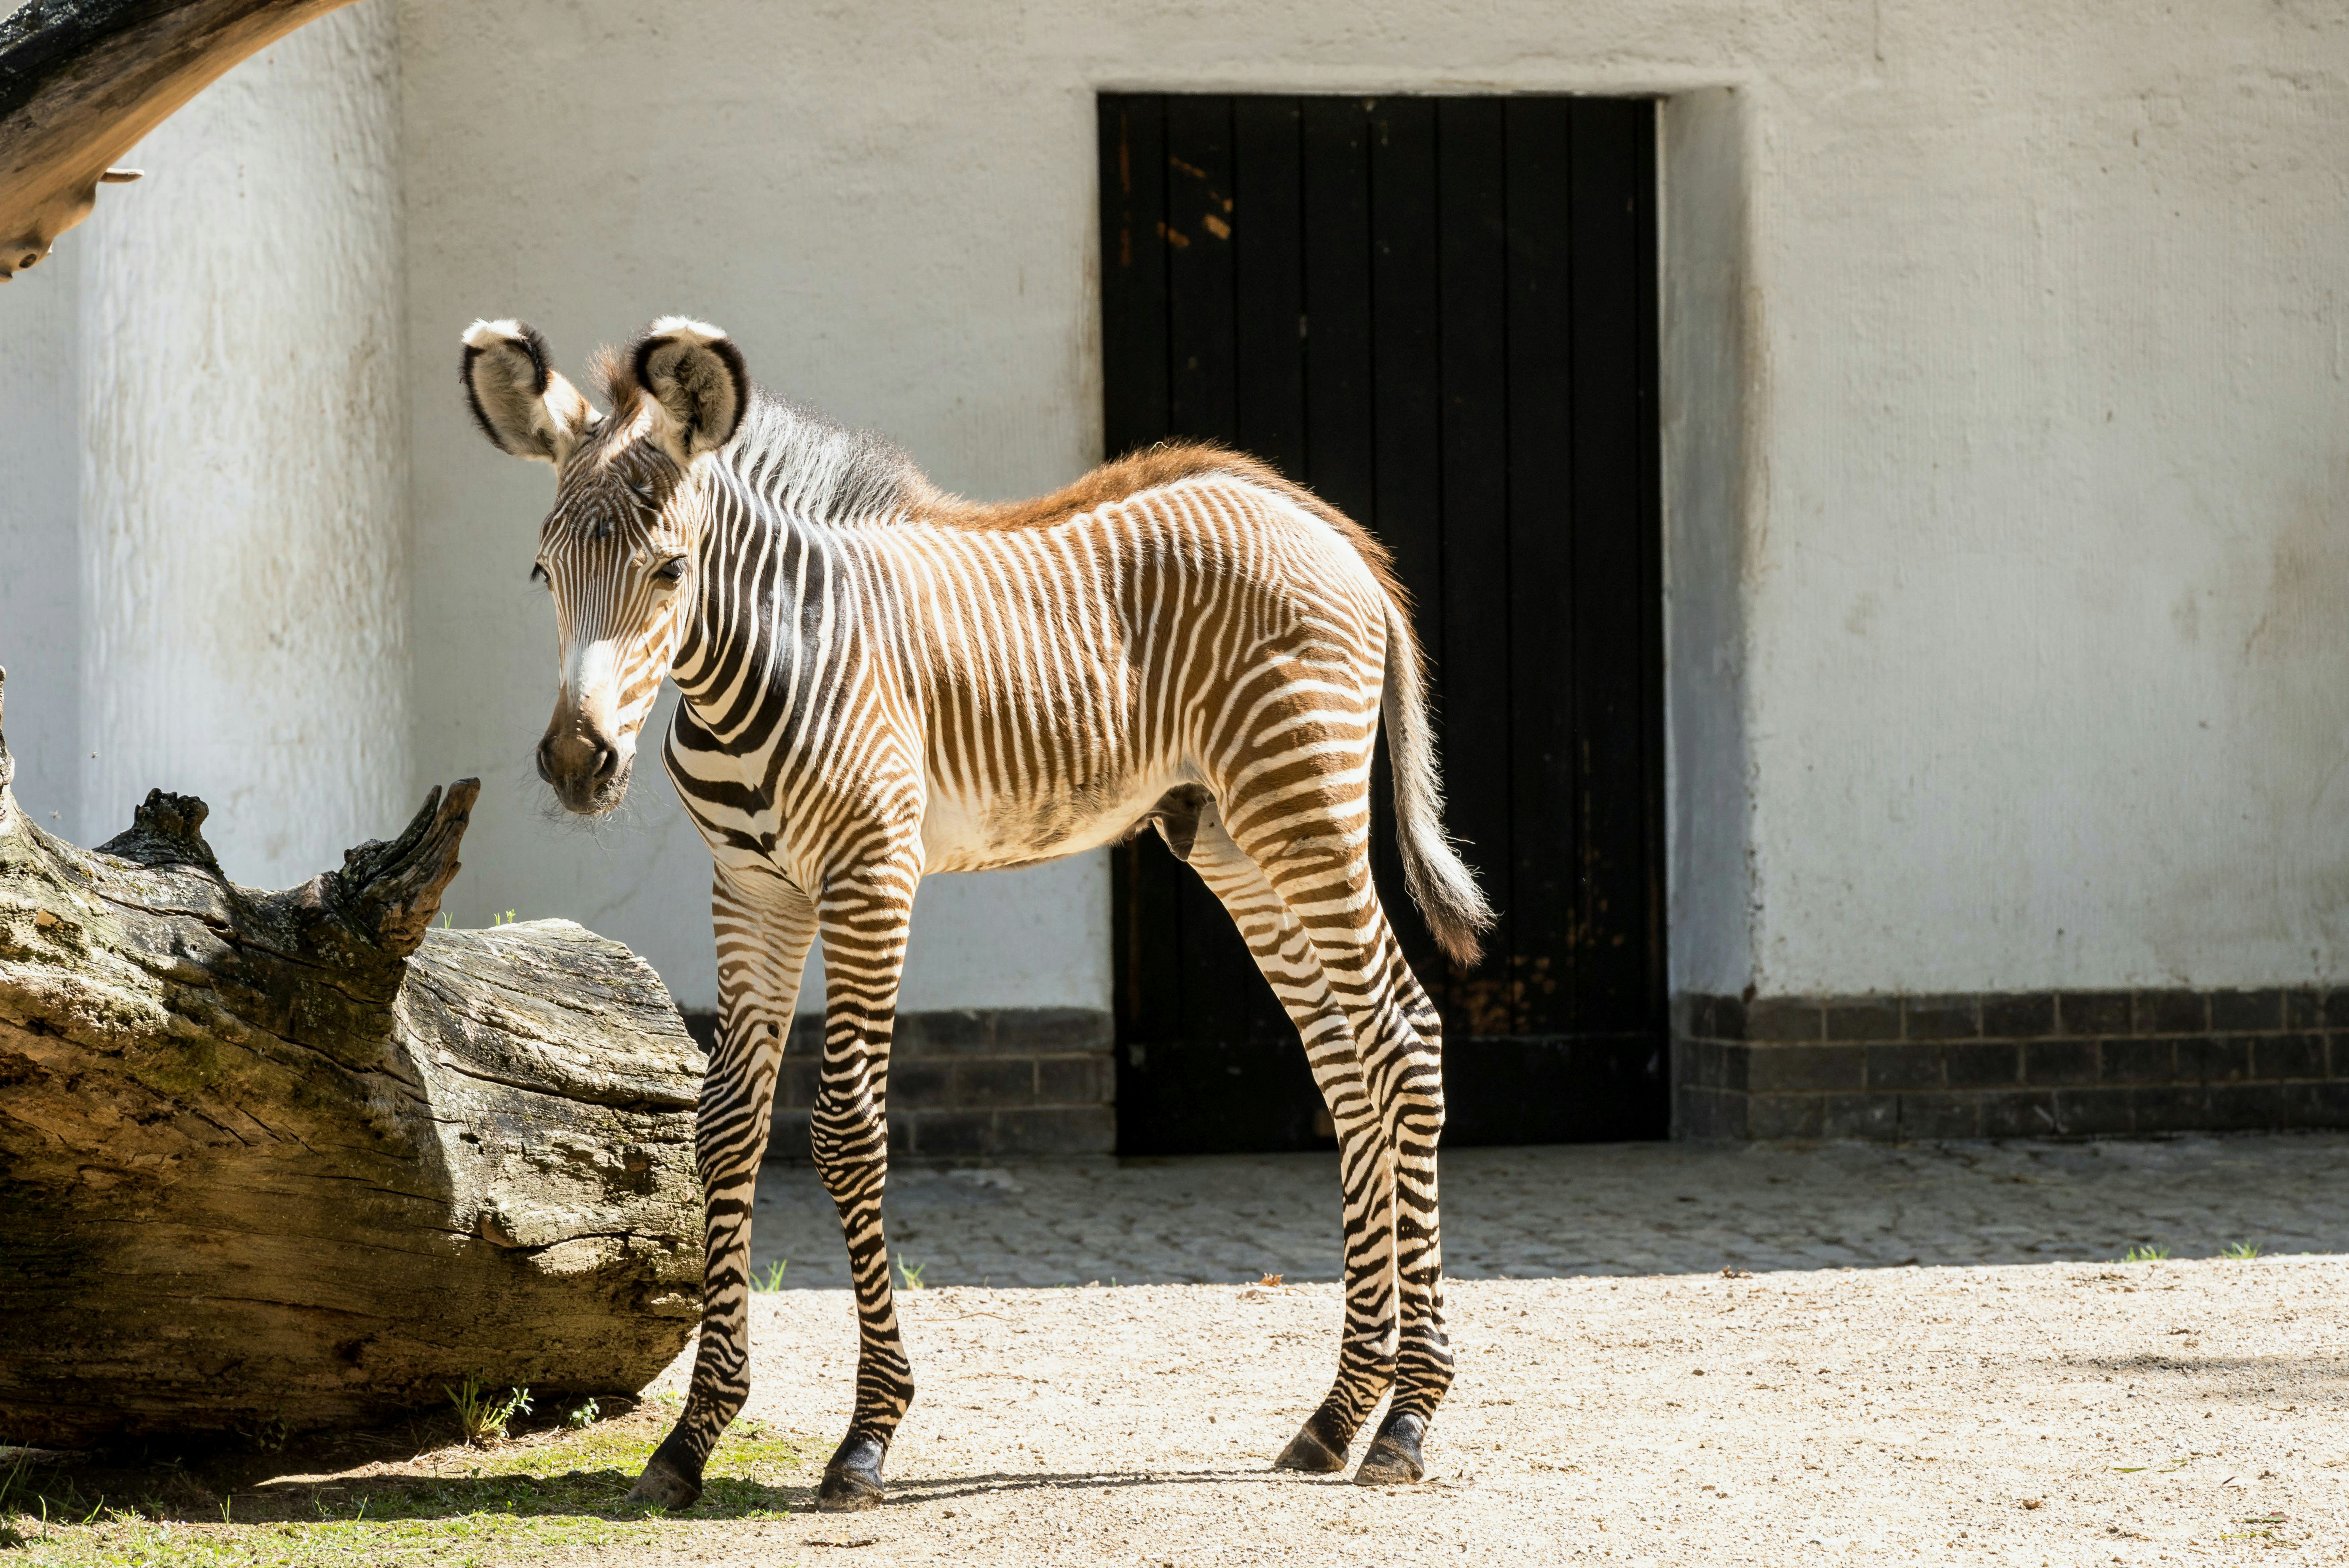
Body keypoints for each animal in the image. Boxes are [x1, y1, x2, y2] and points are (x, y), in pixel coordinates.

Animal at [459, 315, 1494, 1512]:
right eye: (543, 570)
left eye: (670, 569)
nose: (578, 765)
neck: (762, 659)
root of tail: (1323, 526)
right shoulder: (752, 888)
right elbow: (723, 1126)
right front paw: (691, 1438)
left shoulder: (872, 874)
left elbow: (846, 1126)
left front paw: (867, 1434)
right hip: (1231, 836)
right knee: (1344, 1060)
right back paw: (1335, 1413)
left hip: (1301, 807)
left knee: (1401, 1037)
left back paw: (1408, 1418)